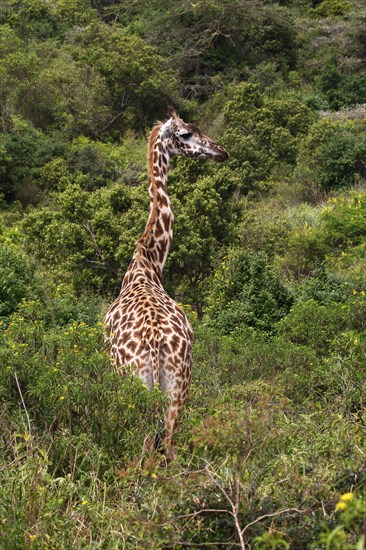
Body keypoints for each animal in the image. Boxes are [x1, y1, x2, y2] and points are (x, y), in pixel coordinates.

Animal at [103, 111, 229, 458]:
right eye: (186, 134)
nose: (221, 151)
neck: (148, 264)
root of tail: (156, 342)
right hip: (178, 383)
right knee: (167, 446)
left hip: (137, 382)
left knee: (146, 444)